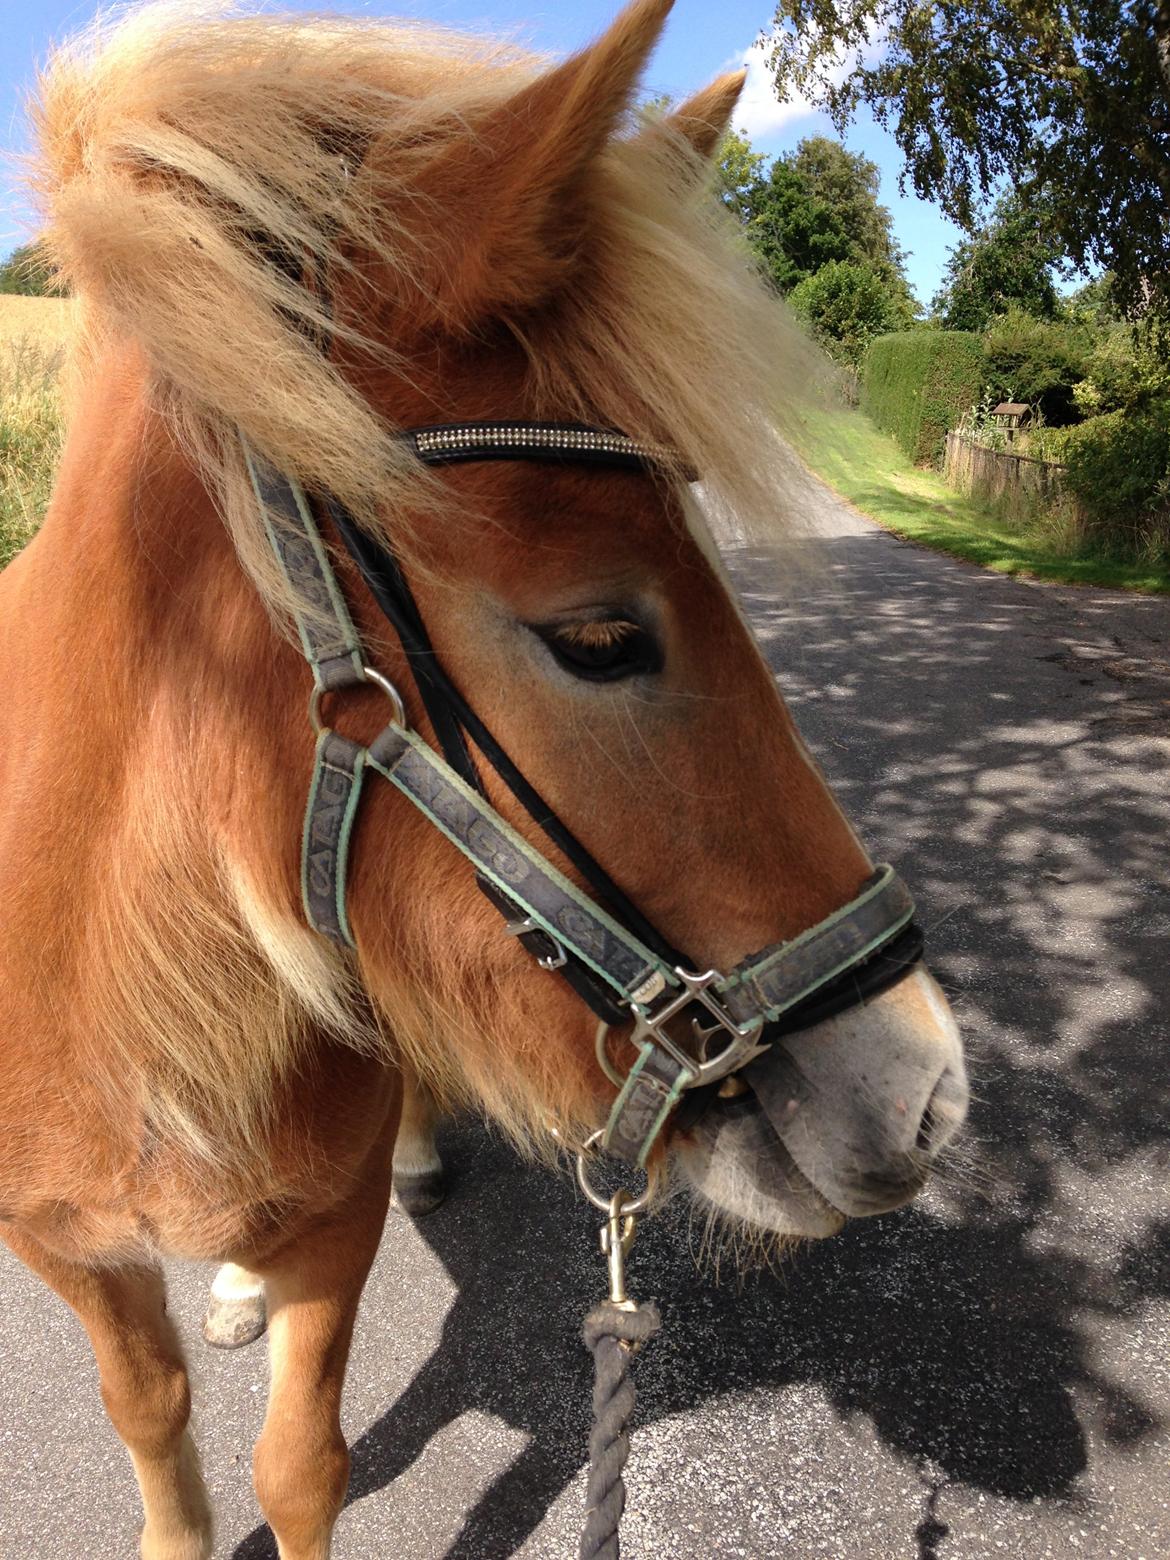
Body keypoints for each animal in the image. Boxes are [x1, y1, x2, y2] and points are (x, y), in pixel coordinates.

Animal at [2, 6, 973, 1553]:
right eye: (597, 638)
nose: (928, 1094)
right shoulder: (59, 1245)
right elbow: (149, 1418)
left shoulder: (332, 1227)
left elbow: (300, 1462)